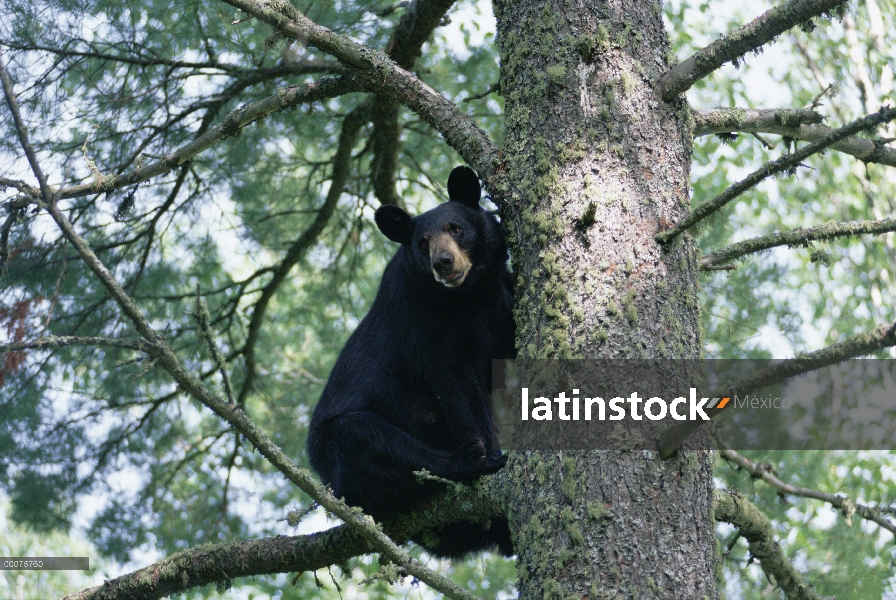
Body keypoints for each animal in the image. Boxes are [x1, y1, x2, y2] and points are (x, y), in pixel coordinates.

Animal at [308, 165, 516, 556]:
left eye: (456, 228)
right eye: (422, 243)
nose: (443, 263)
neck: (466, 297)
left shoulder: (498, 296)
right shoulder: (420, 314)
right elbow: (455, 384)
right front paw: (489, 457)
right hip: (338, 457)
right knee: (368, 438)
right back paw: (465, 462)